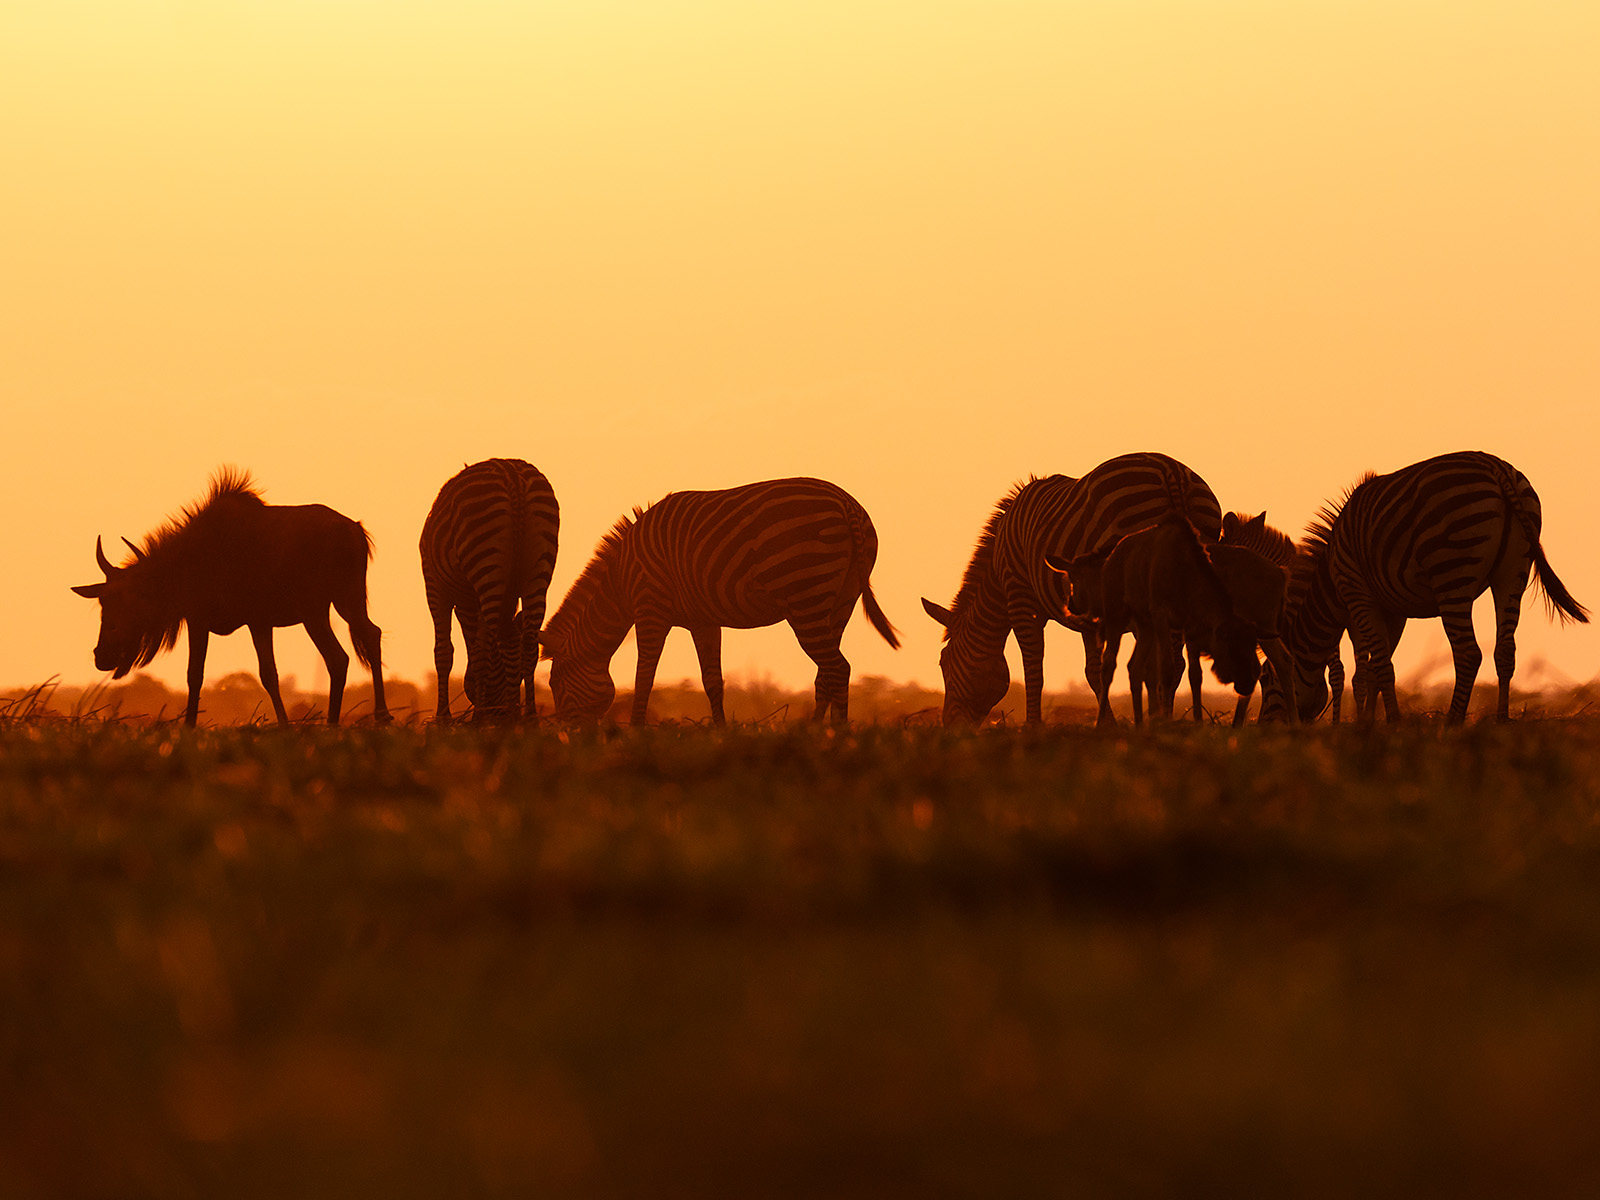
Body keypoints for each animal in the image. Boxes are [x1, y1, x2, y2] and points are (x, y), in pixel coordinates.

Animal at [420, 458, 559, 723]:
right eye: (513, 674)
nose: (504, 714)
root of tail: (512, 474)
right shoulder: (471, 601)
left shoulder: (436, 588)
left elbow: (446, 652)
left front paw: (444, 719)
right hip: (538, 573)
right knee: (529, 644)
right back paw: (530, 718)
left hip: (484, 558)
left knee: (486, 647)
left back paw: (478, 720)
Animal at [538, 477, 899, 725]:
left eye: (556, 682)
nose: (569, 736)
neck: (620, 584)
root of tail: (846, 504)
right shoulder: (703, 620)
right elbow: (713, 681)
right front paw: (721, 731)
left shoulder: (650, 609)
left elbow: (644, 676)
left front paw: (637, 731)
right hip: (841, 602)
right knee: (827, 671)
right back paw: (814, 731)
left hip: (805, 598)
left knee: (838, 667)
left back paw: (836, 734)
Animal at [921, 452, 1222, 727]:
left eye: (944, 663)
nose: (949, 727)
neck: (997, 572)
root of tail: (1171, 470)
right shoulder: (1089, 614)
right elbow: (1094, 670)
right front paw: (1106, 724)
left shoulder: (1021, 600)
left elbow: (1033, 666)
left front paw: (1033, 726)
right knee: (1175, 664)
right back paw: (1167, 721)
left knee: (1160, 664)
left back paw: (1158, 721)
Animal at [1282, 451, 1588, 724]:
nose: (1286, 725)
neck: (1329, 586)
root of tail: (1496, 468)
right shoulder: (1394, 610)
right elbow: (1376, 669)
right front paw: (1370, 723)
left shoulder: (1357, 594)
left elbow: (1378, 666)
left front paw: (1389, 722)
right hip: (1513, 572)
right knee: (1505, 650)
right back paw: (1501, 721)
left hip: (1452, 574)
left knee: (1468, 654)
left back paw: (1451, 722)